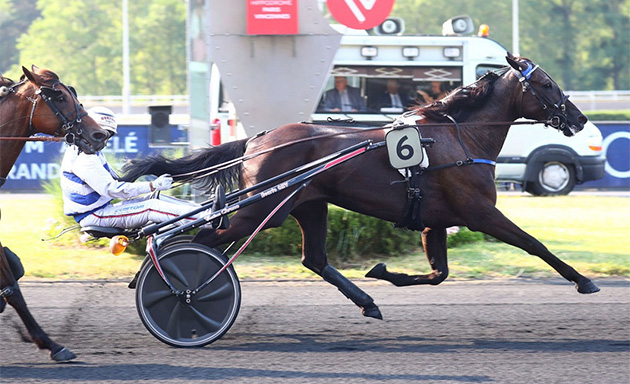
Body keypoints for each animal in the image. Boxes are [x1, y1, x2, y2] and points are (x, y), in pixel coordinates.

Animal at [123, 52, 604, 320]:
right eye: (546, 84)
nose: (580, 118)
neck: (460, 137)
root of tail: (258, 139)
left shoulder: (434, 221)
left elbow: (438, 274)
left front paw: (383, 272)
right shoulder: (480, 212)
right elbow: (534, 244)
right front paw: (584, 280)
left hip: (307, 205)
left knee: (313, 259)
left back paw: (367, 301)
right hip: (261, 210)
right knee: (194, 239)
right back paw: (177, 286)